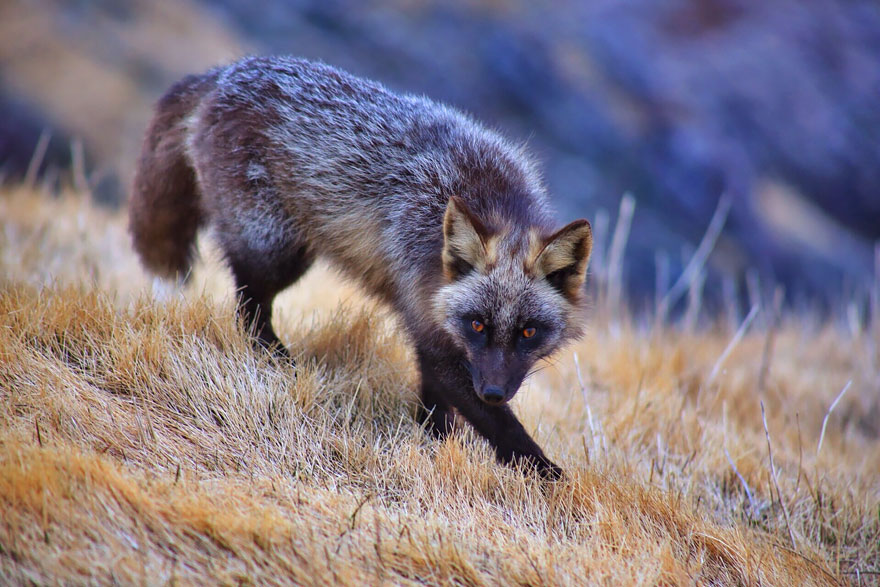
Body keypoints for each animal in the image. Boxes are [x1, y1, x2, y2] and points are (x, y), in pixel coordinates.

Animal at [129, 55, 592, 480]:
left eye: (529, 332)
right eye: (477, 325)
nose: (494, 391)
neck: (490, 200)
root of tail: (226, 71)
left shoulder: (435, 329)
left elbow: (437, 405)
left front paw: (434, 445)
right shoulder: (430, 326)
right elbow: (498, 424)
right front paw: (547, 476)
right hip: (276, 251)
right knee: (249, 305)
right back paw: (275, 360)